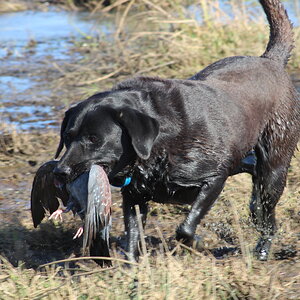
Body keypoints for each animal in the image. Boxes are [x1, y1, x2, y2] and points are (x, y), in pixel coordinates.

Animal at [52, 0, 298, 262]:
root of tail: (270, 61)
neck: (158, 143)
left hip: (274, 166)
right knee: (252, 179)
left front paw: (197, 243)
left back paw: (262, 249)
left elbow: (185, 228)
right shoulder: (134, 195)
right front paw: (132, 265)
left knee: (266, 203)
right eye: (67, 137)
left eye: (94, 139)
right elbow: (133, 234)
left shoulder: (213, 179)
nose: (60, 172)